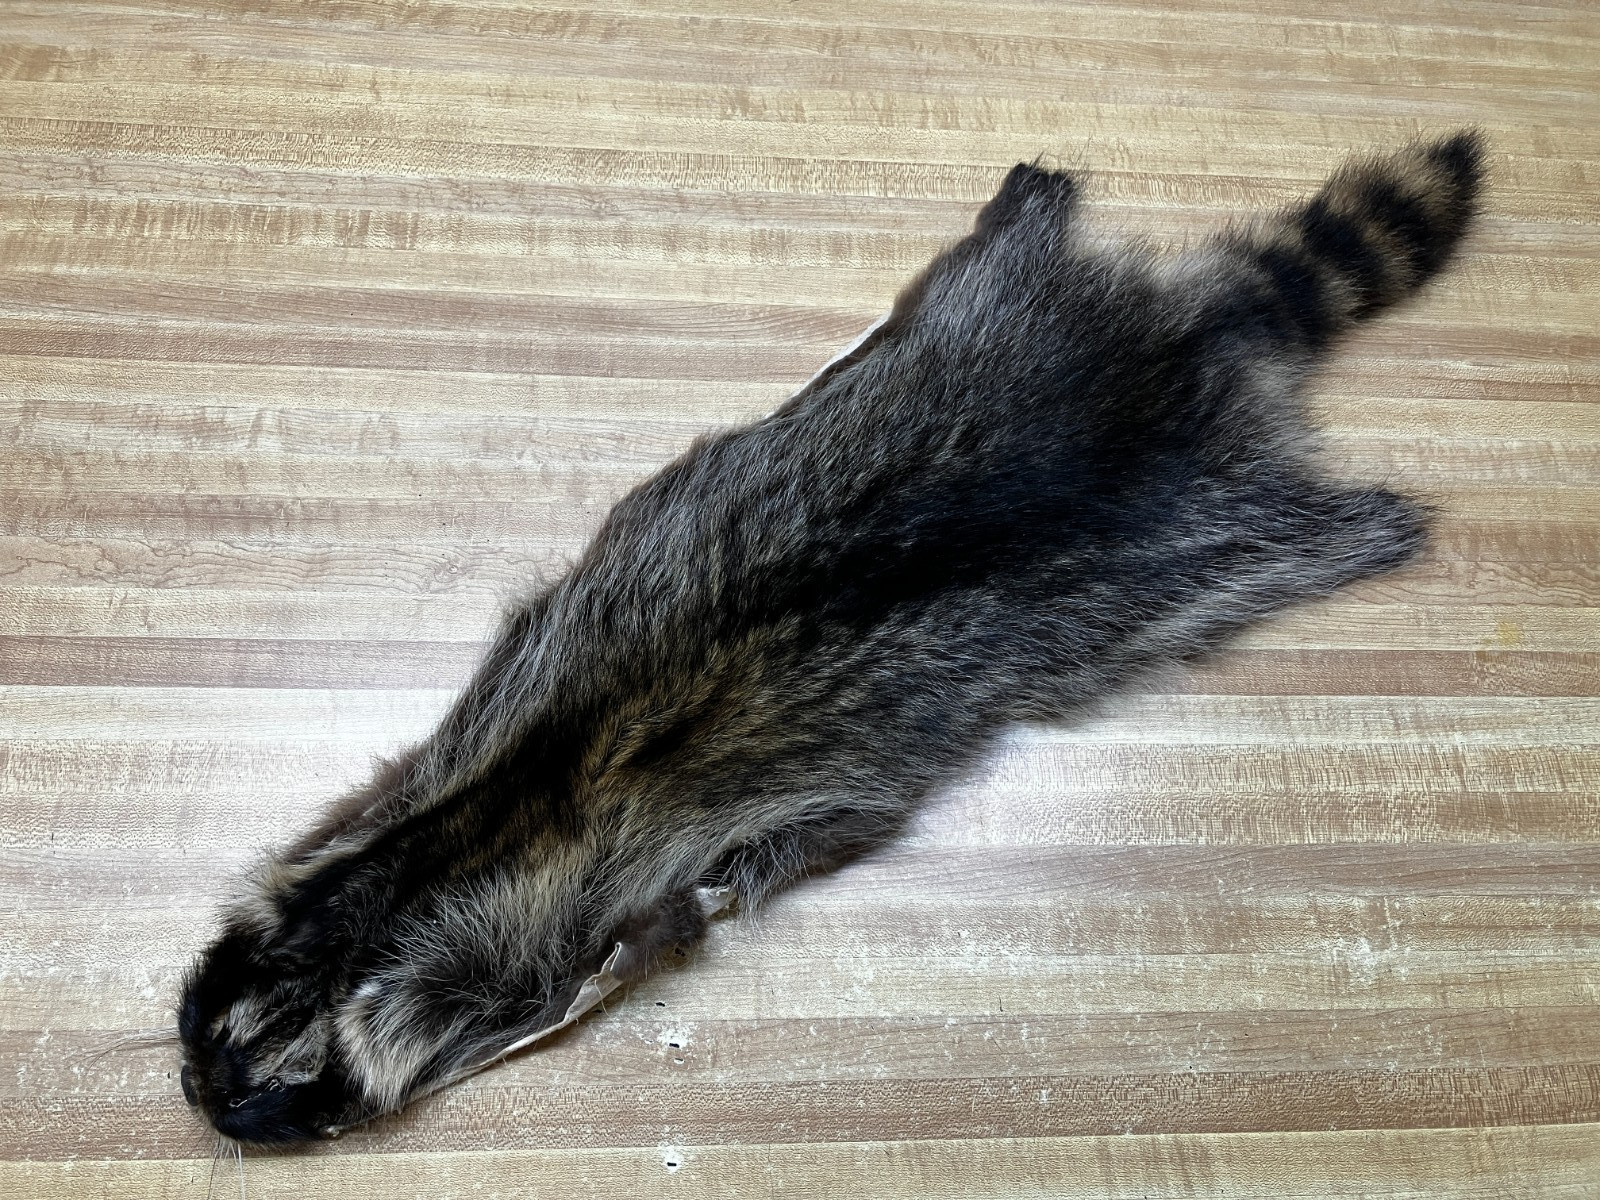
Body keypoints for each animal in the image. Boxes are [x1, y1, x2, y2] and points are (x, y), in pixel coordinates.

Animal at [177, 133, 1482, 1143]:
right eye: (213, 1033)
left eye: (296, 1093)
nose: (196, 1098)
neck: (466, 858)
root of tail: (1185, 339)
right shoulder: (459, 747)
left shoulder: (612, 898)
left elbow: (669, 924)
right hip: (984, 331)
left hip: (1186, 562)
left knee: (1256, 551)